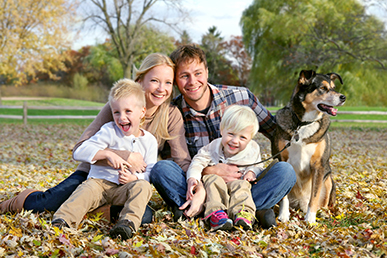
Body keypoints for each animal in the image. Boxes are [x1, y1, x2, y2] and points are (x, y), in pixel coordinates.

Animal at [274, 69, 348, 224]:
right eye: (323, 88)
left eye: (333, 87)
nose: (343, 97)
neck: (304, 123)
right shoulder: (282, 160)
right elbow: (284, 197)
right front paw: (283, 215)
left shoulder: (318, 165)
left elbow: (314, 197)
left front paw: (310, 219)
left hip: (328, 180)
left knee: (324, 204)